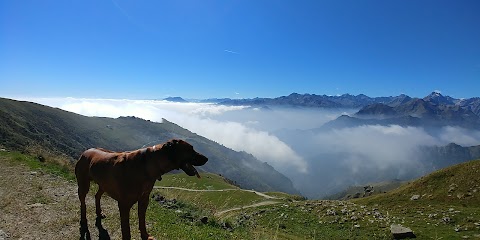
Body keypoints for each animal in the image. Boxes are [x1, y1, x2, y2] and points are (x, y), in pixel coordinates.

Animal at [75, 139, 208, 240]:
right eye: (190, 149)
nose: (206, 159)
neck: (149, 164)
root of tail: (86, 150)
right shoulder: (124, 204)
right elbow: (126, 230)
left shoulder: (144, 200)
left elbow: (142, 220)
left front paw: (145, 236)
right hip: (83, 184)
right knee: (83, 202)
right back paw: (83, 219)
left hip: (104, 183)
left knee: (97, 195)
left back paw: (99, 212)